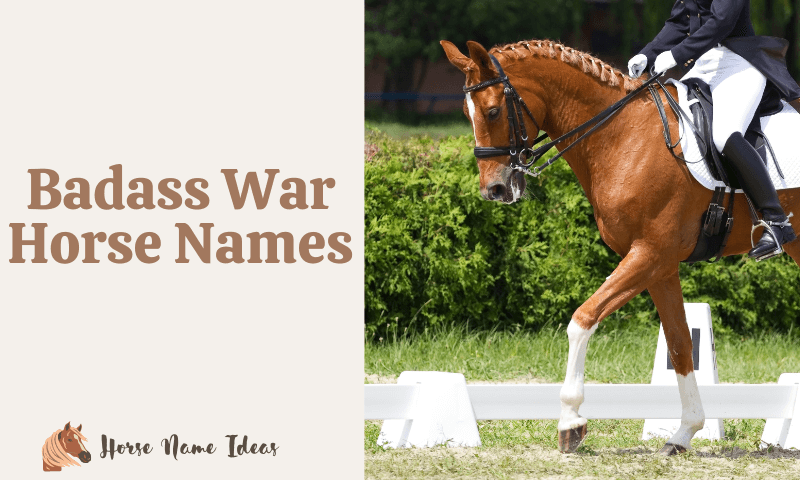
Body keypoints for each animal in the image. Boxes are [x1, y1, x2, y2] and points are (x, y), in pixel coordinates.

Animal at [440, 38, 800, 455]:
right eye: (466, 114)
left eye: (493, 110)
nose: (494, 190)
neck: (620, 135)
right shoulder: (660, 266)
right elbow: (679, 345)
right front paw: (684, 432)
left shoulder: (649, 254)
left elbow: (583, 319)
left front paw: (571, 422)